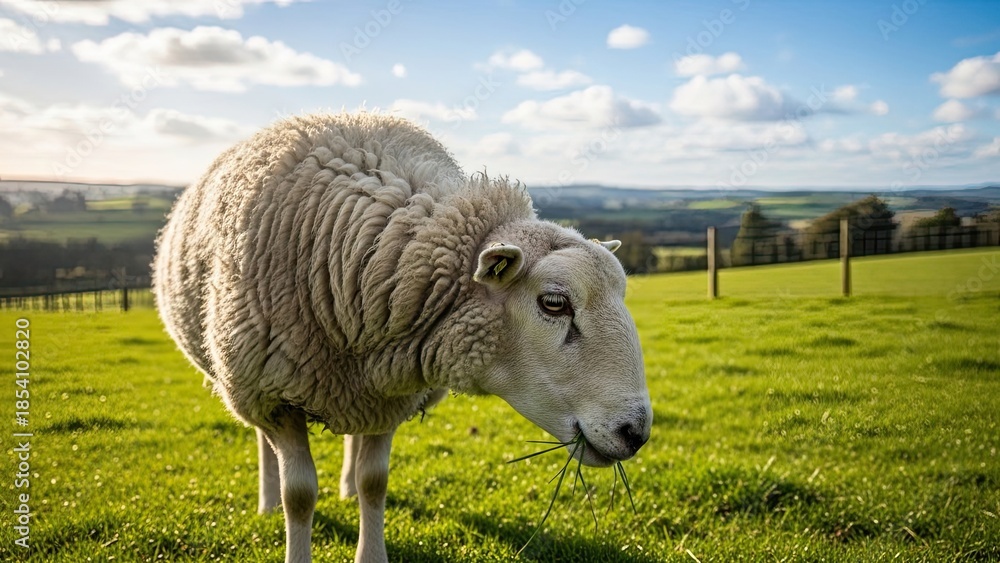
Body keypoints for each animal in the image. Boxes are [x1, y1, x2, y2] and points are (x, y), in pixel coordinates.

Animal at [153, 112, 652, 563]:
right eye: (553, 303)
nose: (636, 433)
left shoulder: (389, 389)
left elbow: (375, 482)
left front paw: (370, 549)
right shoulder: (275, 396)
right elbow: (300, 495)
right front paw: (290, 517)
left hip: (357, 388)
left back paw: (345, 488)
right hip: (243, 376)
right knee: (261, 441)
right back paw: (268, 501)